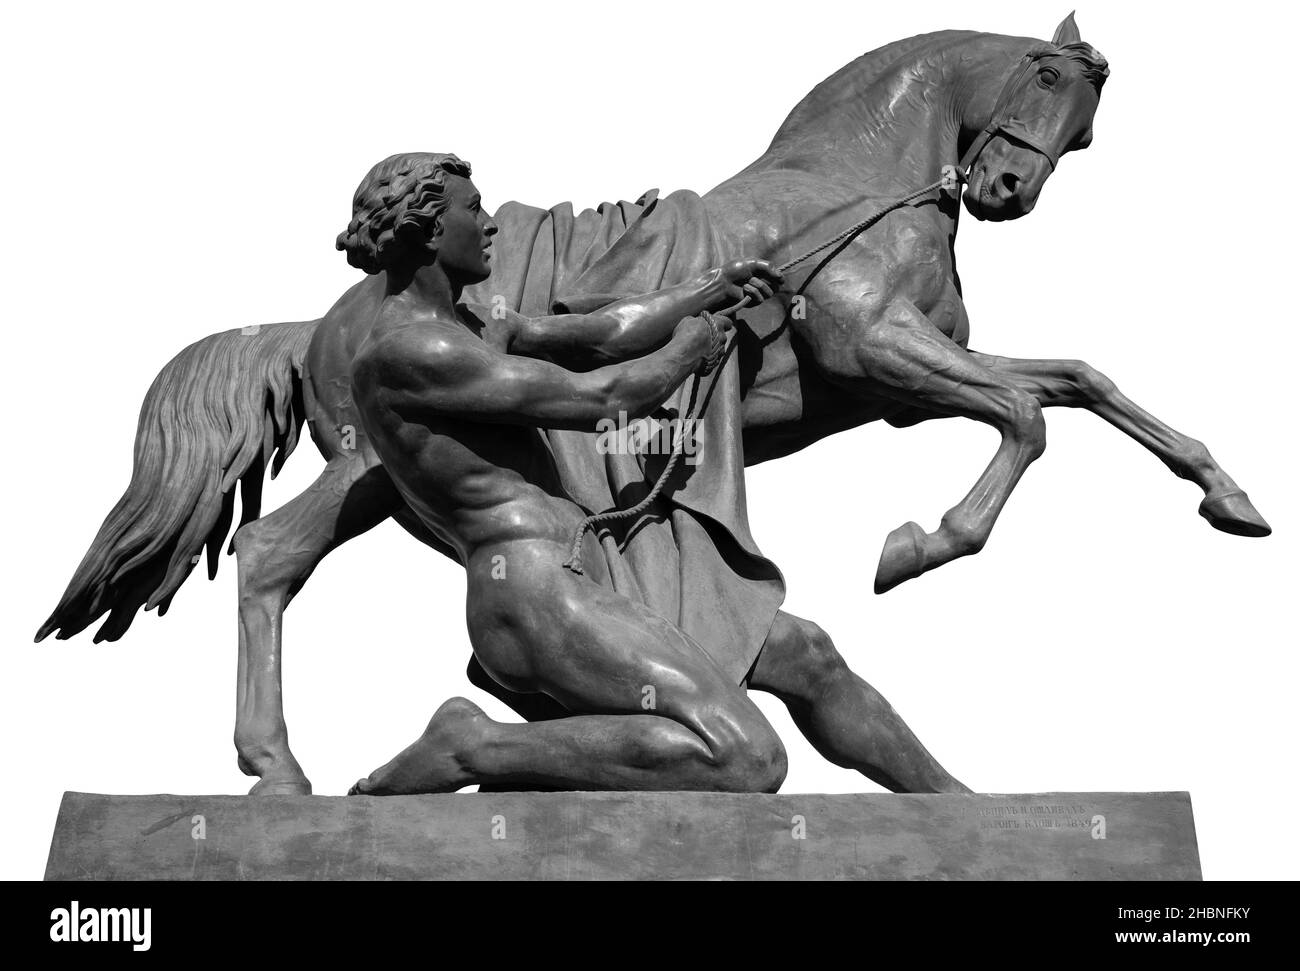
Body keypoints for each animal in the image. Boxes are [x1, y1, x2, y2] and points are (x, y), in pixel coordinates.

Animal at [35, 11, 1263, 795]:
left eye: (1085, 116)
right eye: (1051, 81)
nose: (1006, 190)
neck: (849, 189)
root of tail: (327, 319)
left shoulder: (905, 380)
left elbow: (1082, 382)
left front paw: (1228, 494)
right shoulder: (880, 352)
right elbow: (1026, 416)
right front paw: (920, 543)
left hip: (374, 485)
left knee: (277, 557)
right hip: (370, 470)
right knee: (270, 554)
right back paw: (285, 771)